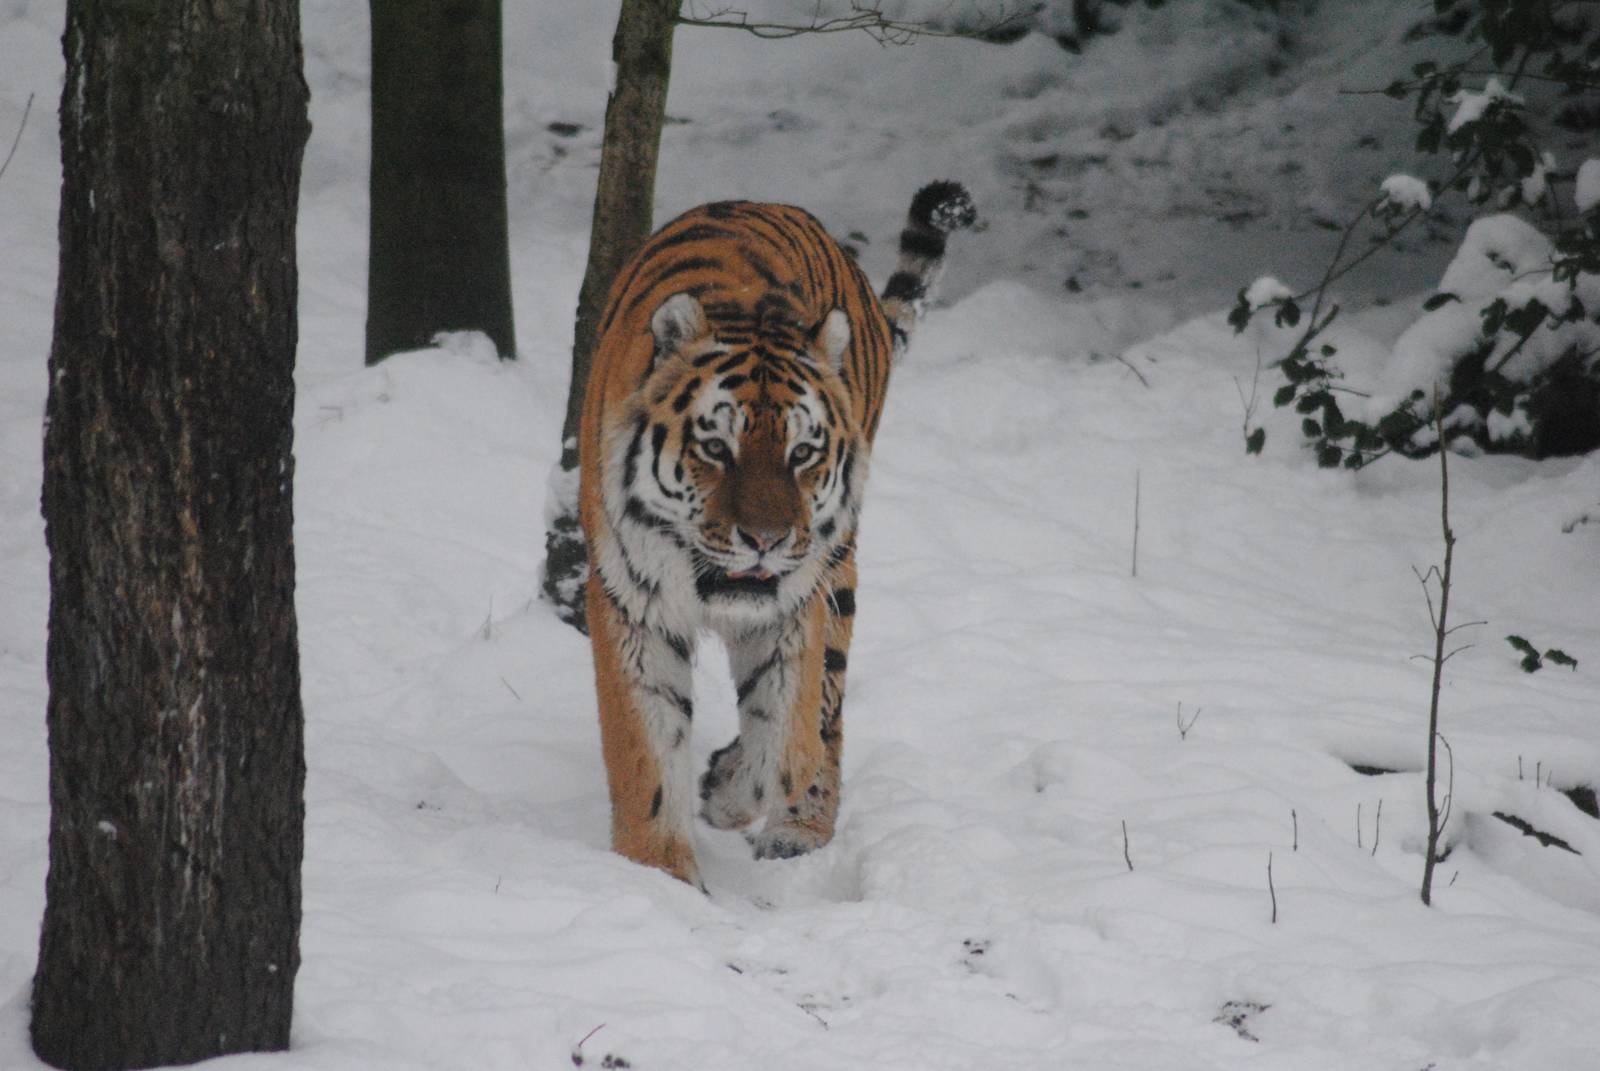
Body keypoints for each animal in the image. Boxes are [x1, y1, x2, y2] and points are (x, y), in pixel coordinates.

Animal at [578, 181, 976, 887]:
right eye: (716, 448)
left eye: (802, 453)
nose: (764, 539)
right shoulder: (632, 603)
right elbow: (645, 752)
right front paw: (659, 878)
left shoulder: (795, 603)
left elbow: (786, 741)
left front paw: (725, 791)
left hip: (838, 569)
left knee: (828, 716)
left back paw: (800, 833)